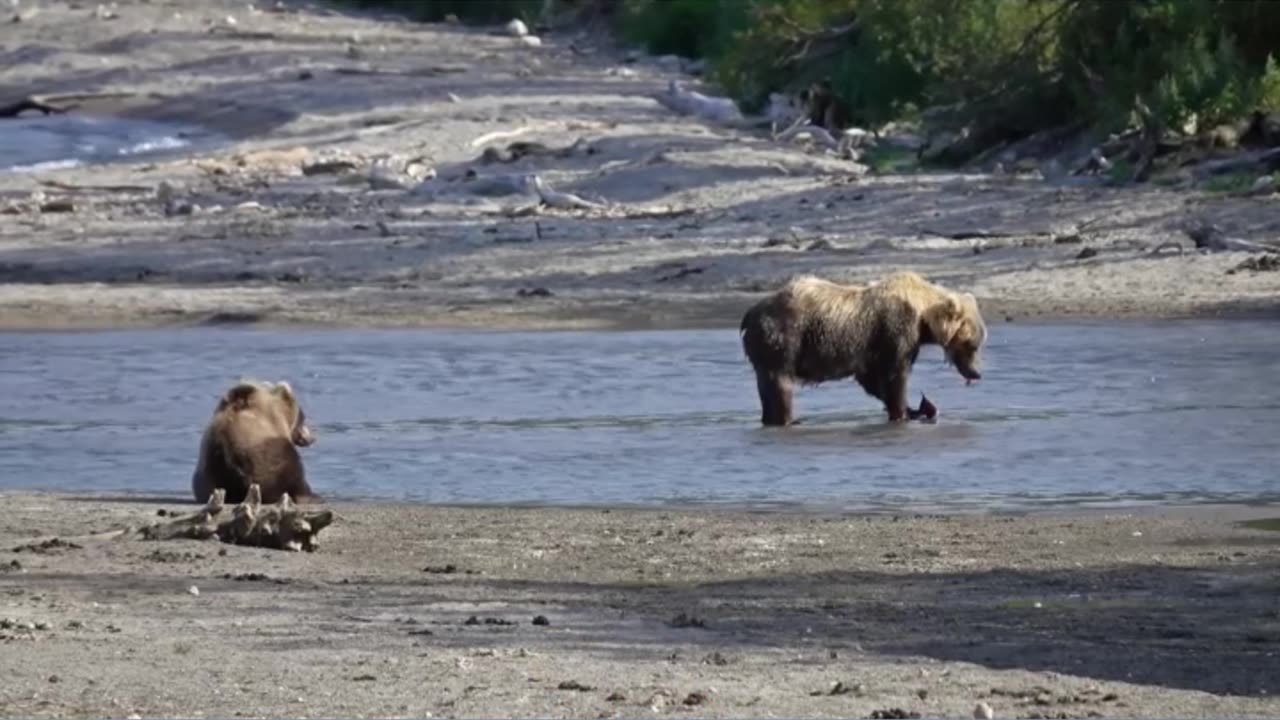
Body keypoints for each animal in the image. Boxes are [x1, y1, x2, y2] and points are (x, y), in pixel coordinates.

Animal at [742, 271, 988, 422]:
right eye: (972, 345)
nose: (977, 373)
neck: (922, 316)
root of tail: (751, 313)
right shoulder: (895, 330)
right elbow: (894, 376)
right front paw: (903, 412)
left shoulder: (870, 348)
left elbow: (872, 380)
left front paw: (919, 409)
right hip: (783, 339)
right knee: (780, 386)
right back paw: (786, 418)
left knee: (766, 389)